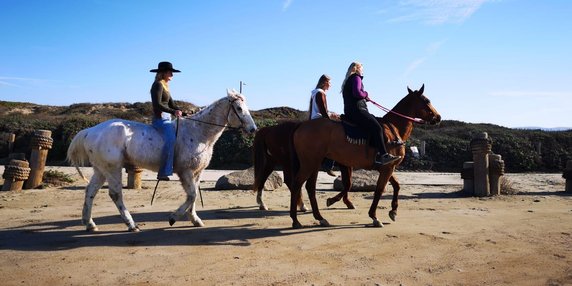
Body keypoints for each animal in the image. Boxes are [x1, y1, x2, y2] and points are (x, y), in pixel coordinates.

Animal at [66, 89, 256, 232]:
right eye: (239, 108)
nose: (253, 129)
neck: (198, 132)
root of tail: (90, 131)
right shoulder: (186, 172)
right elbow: (192, 195)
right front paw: (173, 217)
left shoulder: (197, 172)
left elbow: (193, 196)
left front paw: (195, 219)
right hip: (113, 169)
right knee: (115, 194)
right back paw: (131, 224)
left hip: (101, 170)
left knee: (90, 191)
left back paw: (90, 224)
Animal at [288, 84, 440, 228]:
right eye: (427, 100)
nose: (438, 117)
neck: (393, 128)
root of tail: (301, 125)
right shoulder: (387, 168)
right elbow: (379, 190)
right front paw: (374, 216)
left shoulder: (388, 167)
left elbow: (396, 186)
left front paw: (393, 211)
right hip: (309, 163)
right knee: (297, 184)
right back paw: (295, 220)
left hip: (314, 164)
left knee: (310, 187)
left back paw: (319, 217)